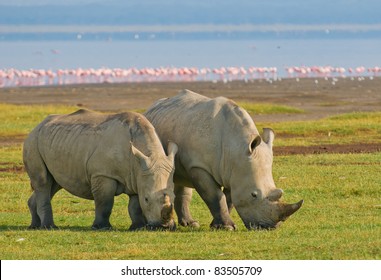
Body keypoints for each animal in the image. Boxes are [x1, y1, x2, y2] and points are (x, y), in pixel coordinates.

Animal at [23, 109, 177, 230]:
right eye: (146, 199)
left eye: (174, 197)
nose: (164, 227)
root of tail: (37, 125)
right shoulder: (103, 174)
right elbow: (105, 202)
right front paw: (102, 227)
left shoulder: (137, 176)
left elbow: (135, 206)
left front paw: (137, 227)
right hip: (33, 141)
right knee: (43, 181)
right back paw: (49, 227)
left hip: (55, 141)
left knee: (53, 183)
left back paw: (34, 226)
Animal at [145, 89, 302, 230]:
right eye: (254, 195)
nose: (269, 227)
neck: (236, 147)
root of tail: (153, 106)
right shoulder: (199, 166)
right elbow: (215, 196)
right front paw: (227, 227)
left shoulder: (234, 170)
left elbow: (229, 198)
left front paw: (218, 225)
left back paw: (191, 224)